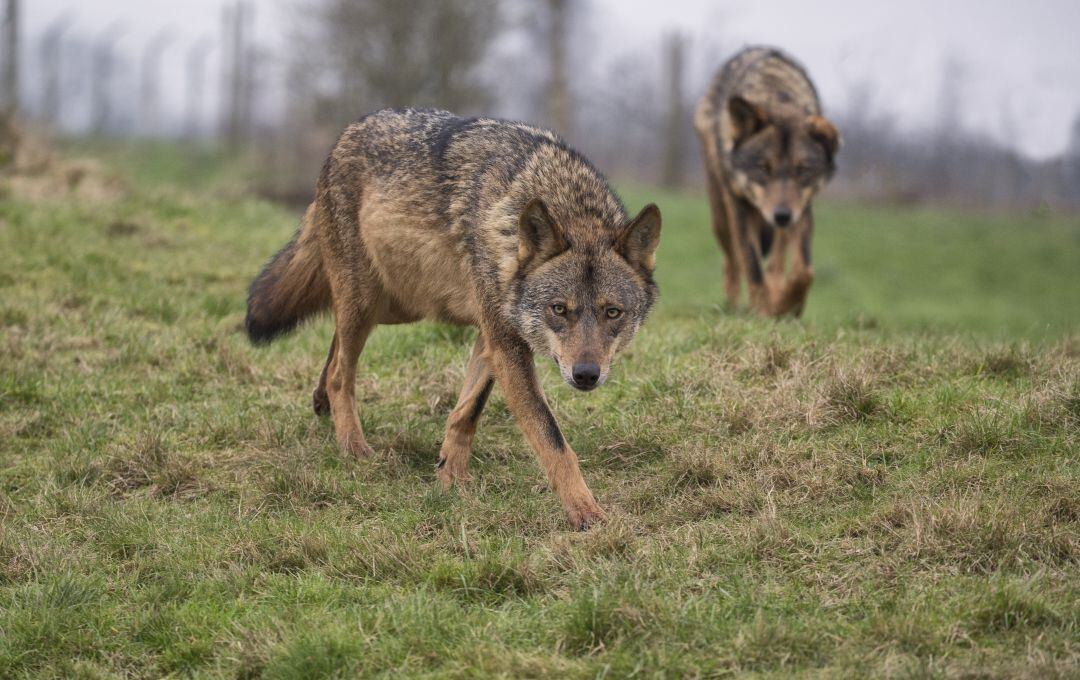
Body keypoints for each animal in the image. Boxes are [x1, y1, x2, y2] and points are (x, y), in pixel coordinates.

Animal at [246, 107, 660, 533]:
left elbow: (467, 411)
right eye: (559, 309)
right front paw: (585, 512)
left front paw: (451, 479)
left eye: (612, 312)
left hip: (396, 304)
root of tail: (348, 132)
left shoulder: (492, 336)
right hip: (367, 301)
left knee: (335, 346)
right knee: (340, 372)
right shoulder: (505, 342)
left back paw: (321, 404)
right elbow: (552, 438)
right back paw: (353, 447)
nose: (586, 375)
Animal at [695, 46, 838, 319]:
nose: (782, 215)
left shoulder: (803, 210)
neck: (775, 95)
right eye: (763, 168)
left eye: (802, 170)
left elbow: (803, 271)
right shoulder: (740, 207)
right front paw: (761, 313)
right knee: (732, 262)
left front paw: (788, 308)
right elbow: (752, 266)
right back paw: (732, 305)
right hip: (720, 217)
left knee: (776, 264)